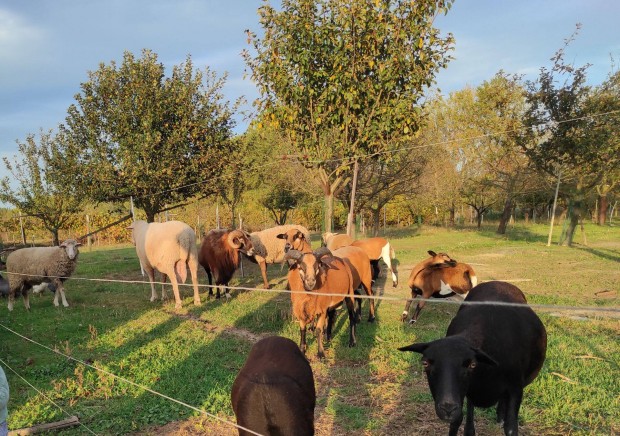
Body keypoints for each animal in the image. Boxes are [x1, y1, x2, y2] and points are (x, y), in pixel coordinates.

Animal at [398, 282, 548, 434]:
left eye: (472, 364)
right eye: (425, 363)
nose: (447, 409)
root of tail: (499, 282)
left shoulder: (516, 389)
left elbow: (511, 428)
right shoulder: (465, 392)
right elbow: (458, 422)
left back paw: (500, 415)